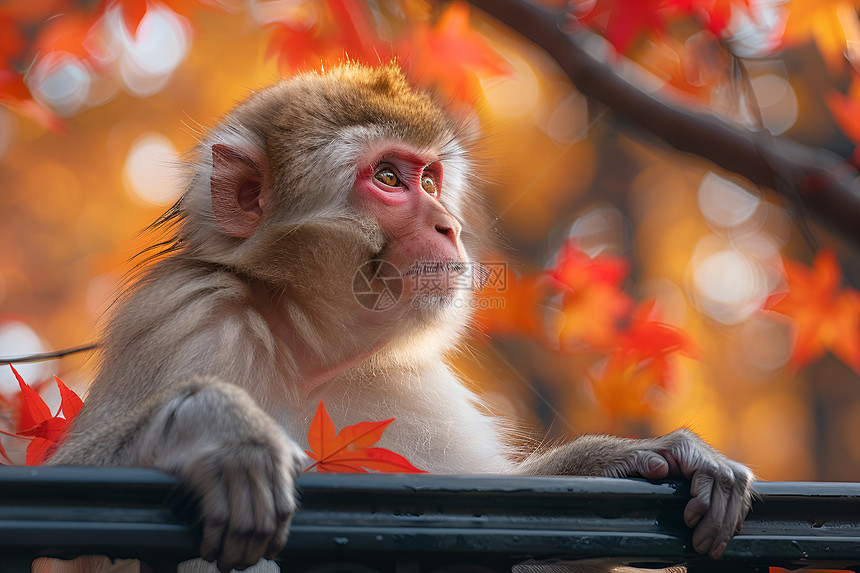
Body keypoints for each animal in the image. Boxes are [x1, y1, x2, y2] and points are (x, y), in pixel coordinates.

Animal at [42, 63, 752, 572]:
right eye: (387, 178)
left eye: (431, 180)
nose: (449, 226)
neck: (307, 347)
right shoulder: (185, 315)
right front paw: (210, 427)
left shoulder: (405, 383)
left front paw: (646, 456)